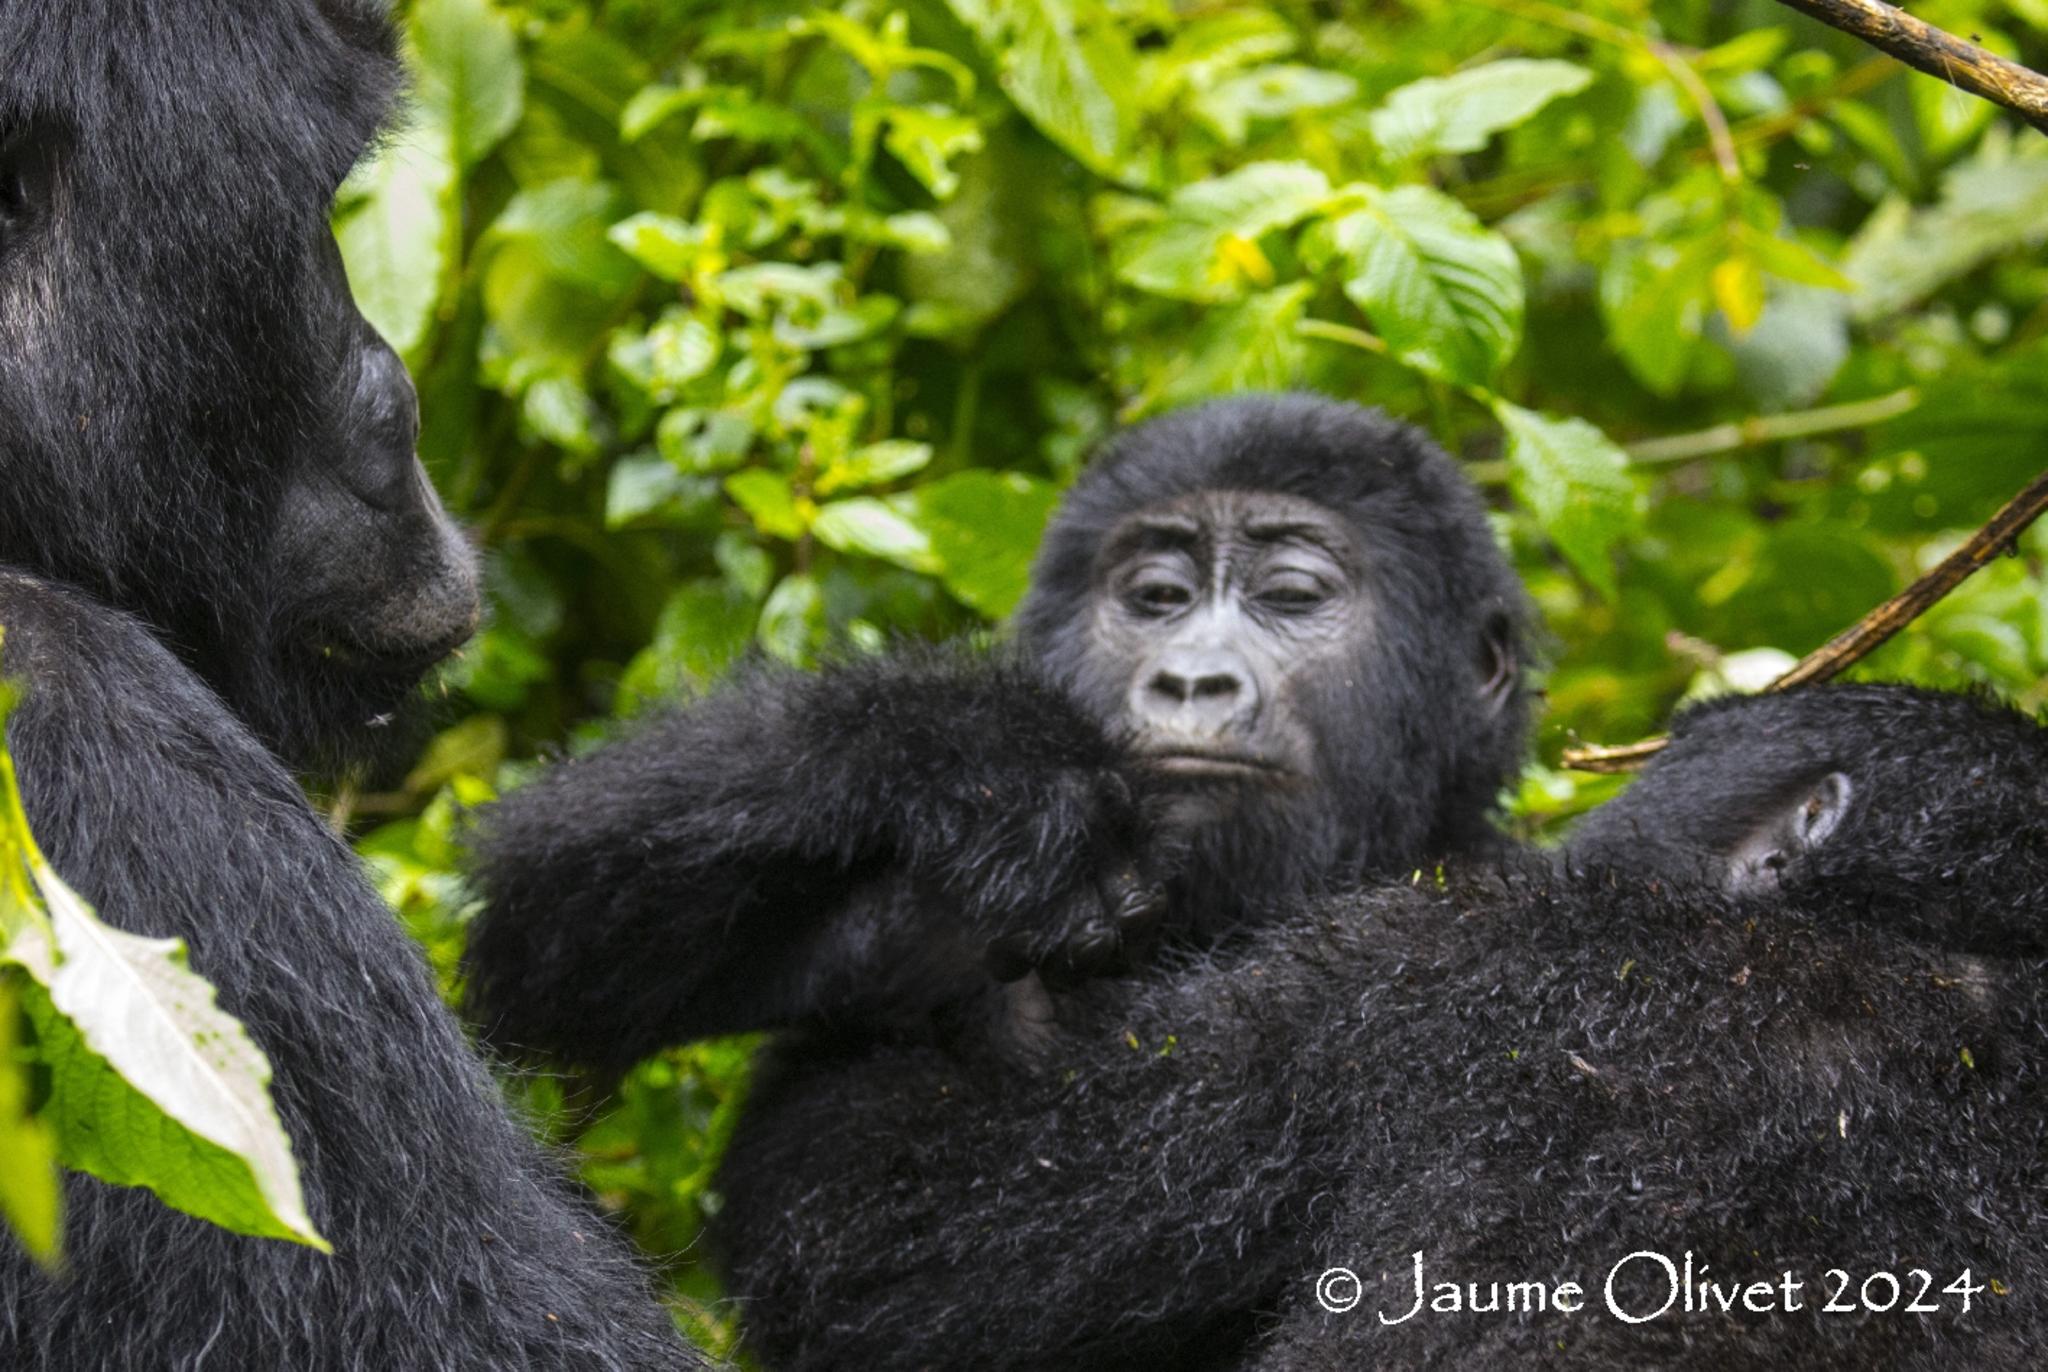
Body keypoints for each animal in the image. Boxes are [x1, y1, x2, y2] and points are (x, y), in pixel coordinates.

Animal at [468, 393, 1540, 1073]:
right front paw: (1000, 766)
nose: (1193, 678)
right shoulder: (916, 922)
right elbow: (544, 933)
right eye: (1158, 598)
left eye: (1291, 596)